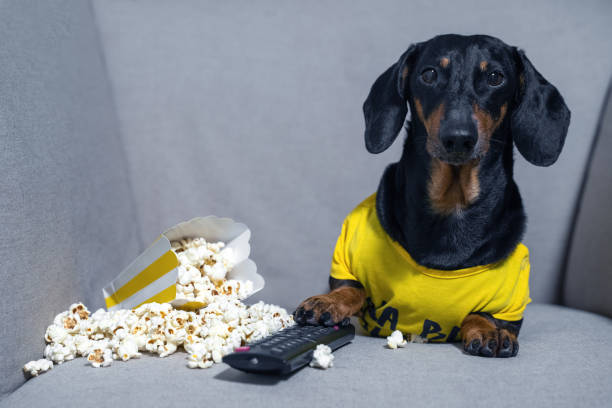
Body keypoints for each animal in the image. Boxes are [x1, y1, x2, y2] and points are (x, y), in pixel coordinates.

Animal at [294, 34, 572, 356]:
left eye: (495, 77)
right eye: (429, 74)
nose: (458, 138)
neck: (452, 204)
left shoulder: (510, 297)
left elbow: (485, 314)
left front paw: (489, 329)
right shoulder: (347, 260)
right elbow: (352, 289)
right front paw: (327, 302)